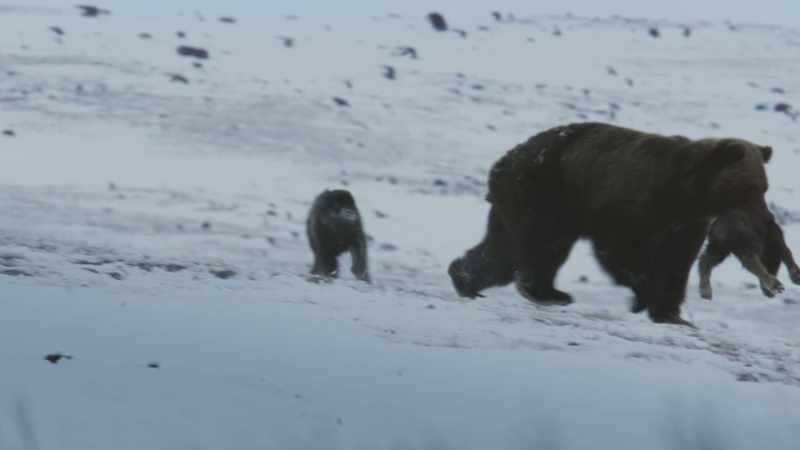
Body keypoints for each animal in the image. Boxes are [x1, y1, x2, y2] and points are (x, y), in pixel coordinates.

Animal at [448, 122, 773, 326]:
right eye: (751, 187)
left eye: (763, 186)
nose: (762, 218)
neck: (687, 194)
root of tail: (502, 162)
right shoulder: (632, 203)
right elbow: (624, 251)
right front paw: (644, 294)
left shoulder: (686, 226)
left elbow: (676, 264)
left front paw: (671, 314)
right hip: (544, 193)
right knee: (536, 246)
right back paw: (544, 293)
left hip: (534, 203)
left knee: (506, 250)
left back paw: (469, 279)